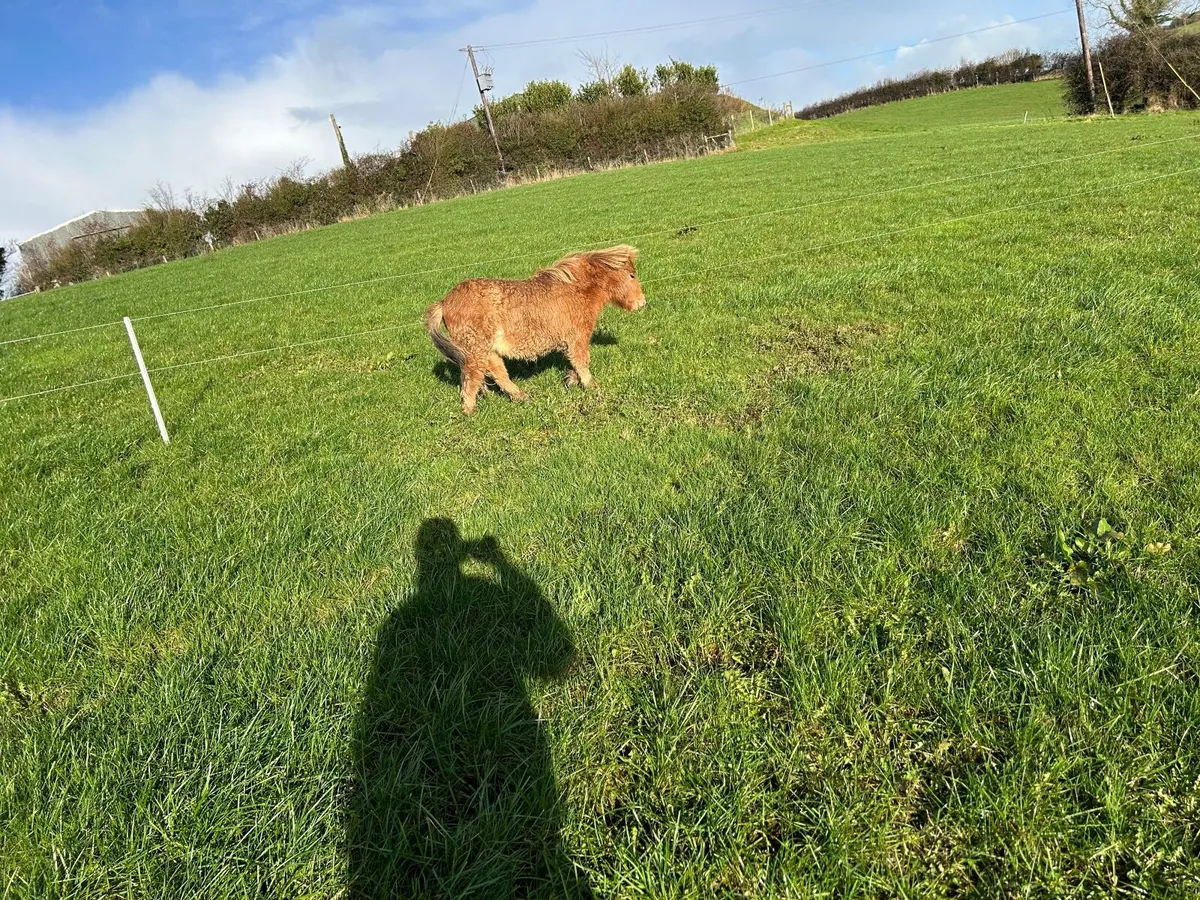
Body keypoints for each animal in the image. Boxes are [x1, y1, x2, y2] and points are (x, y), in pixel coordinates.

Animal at [424, 245, 646, 415]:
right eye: (632, 275)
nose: (642, 303)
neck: (575, 290)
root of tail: (444, 302)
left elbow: (575, 365)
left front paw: (571, 381)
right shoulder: (578, 338)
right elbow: (582, 363)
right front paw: (592, 387)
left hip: (488, 352)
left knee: (498, 375)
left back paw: (521, 397)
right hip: (475, 352)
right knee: (471, 381)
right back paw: (470, 412)